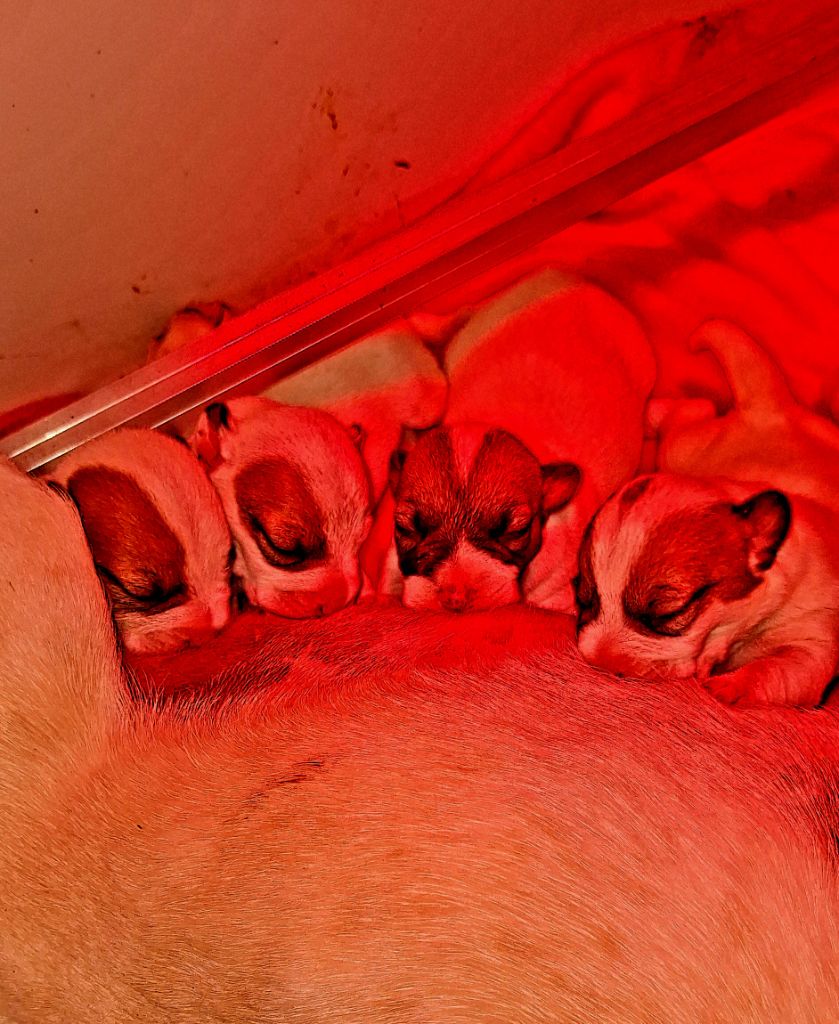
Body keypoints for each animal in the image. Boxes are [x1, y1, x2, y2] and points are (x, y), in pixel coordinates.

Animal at [577, 473, 839, 708]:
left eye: (671, 613)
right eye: (583, 600)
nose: (600, 662)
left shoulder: (813, 638)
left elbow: (777, 668)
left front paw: (730, 685)